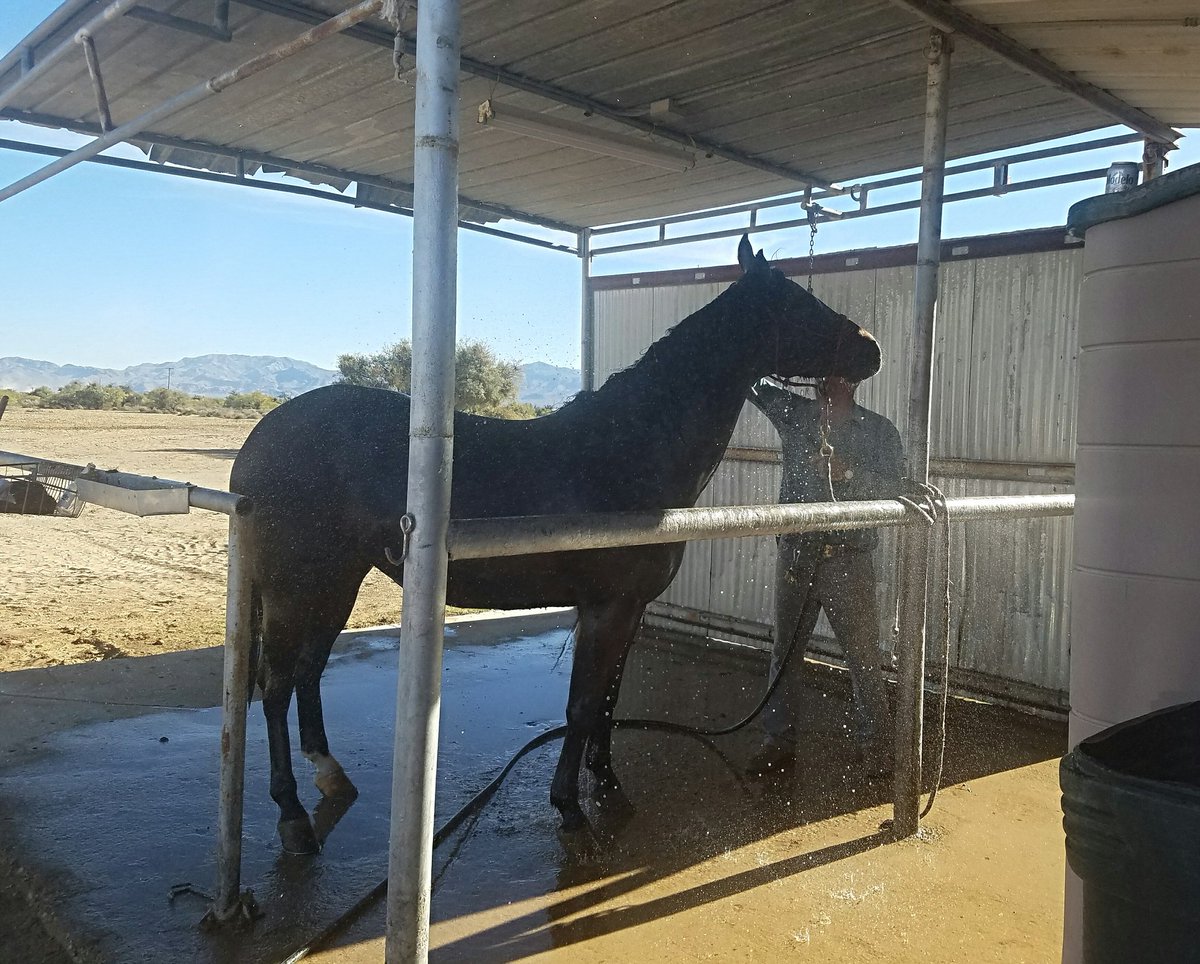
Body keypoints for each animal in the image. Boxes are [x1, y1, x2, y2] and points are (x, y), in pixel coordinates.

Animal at [229, 236, 882, 853]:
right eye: (795, 302)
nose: (871, 348)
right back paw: (293, 819)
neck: (627, 449)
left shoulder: (629, 610)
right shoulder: (603, 609)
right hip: (294, 589)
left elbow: (609, 703)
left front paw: (609, 787)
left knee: (308, 671)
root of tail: (261, 441)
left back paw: (331, 775)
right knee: (277, 684)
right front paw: (570, 808)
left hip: (336, 582)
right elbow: (582, 706)